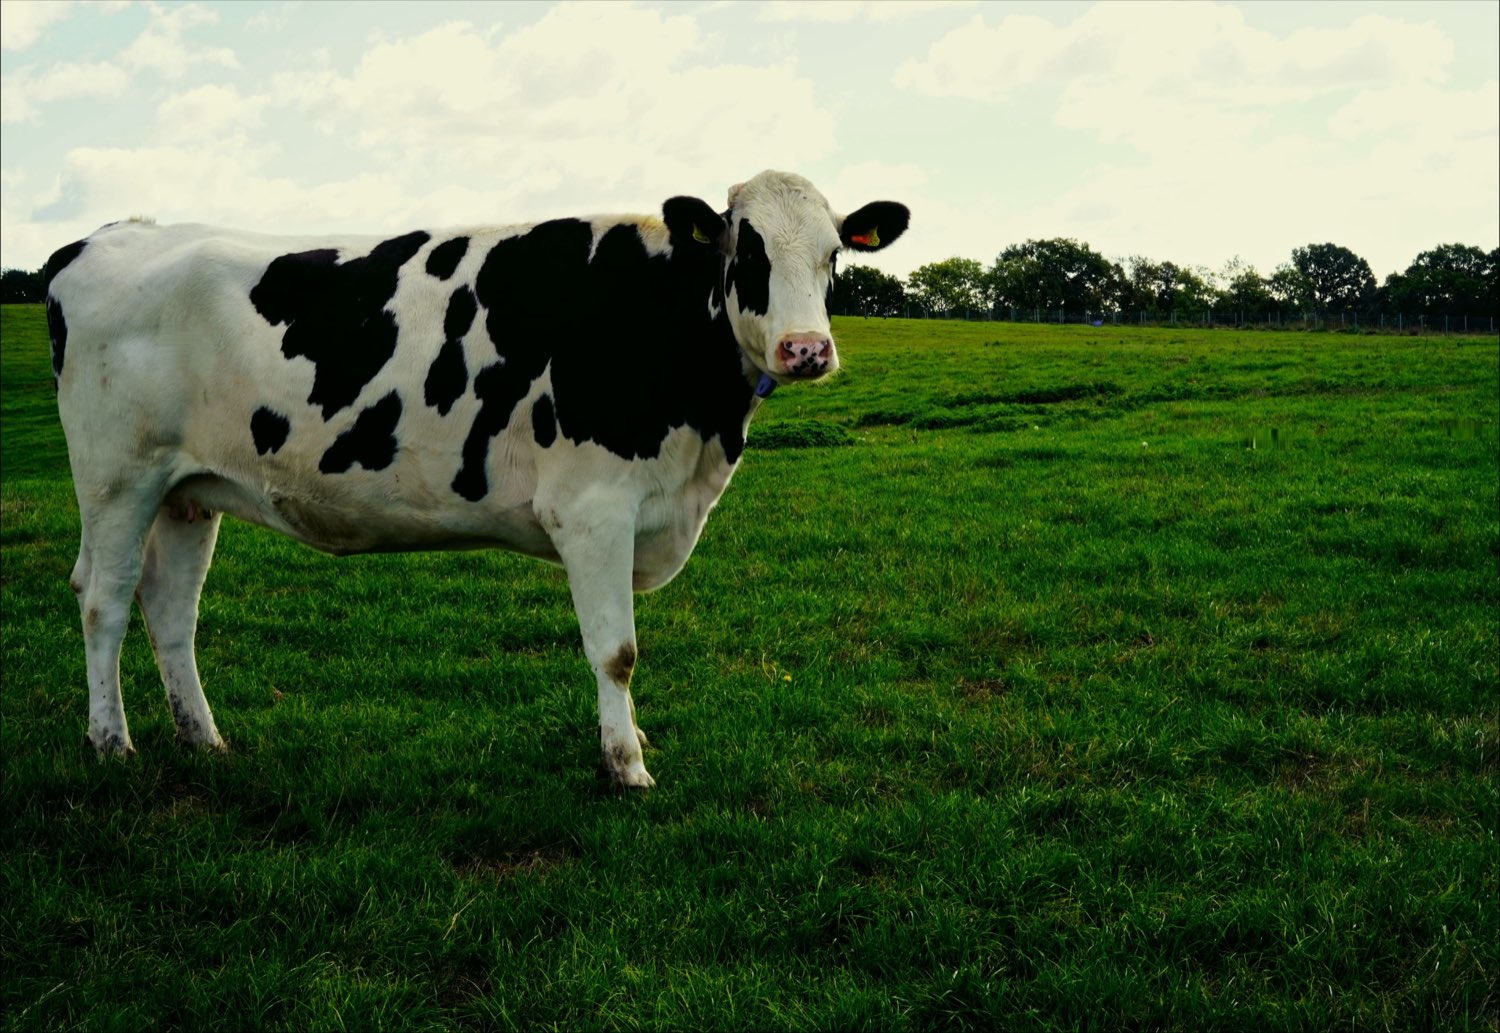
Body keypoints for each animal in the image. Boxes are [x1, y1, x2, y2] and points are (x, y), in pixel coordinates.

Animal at [44, 170, 909, 788]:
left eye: (834, 254)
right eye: (746, 250)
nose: (806, 349)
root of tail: (98, 239)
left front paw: (630, 738)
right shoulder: (592, 509)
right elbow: (617, 650)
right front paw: (626, 763)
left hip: (187, 490)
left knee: (171, 608)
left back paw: (205, 739)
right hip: (118, 478)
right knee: (103, 597)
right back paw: (110, 743)